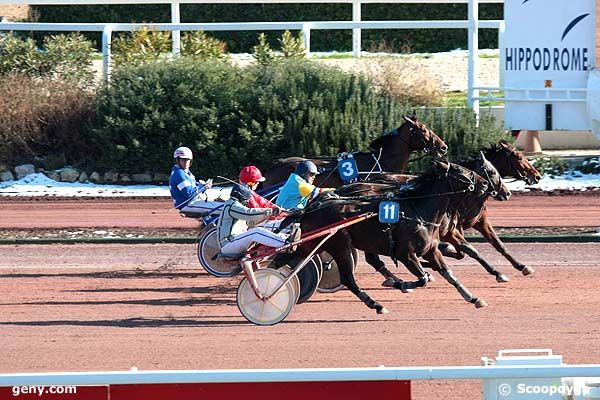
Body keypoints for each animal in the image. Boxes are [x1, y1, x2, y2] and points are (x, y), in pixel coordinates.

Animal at [280, 161, 488, 314]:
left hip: (313, 245)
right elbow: (422, 279)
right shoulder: (406, 254)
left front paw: (474, 298)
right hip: (341, 246)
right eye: (461, 170)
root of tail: (312, 208)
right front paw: (405, 283)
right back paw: (377, 304)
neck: (418, 210)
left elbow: (449, 273)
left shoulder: (431, 250)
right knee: (349, 278)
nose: (485, 183)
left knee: (282, 261)